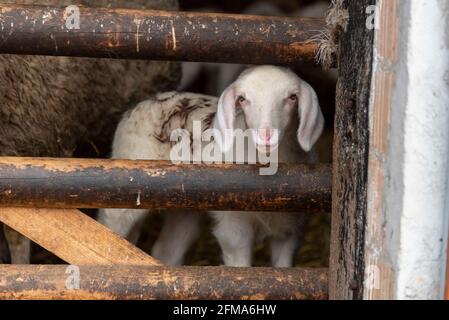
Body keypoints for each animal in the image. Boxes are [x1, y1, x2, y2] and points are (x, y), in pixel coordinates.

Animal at [97, 66, 322, 268]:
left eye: (292, 97)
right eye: (242, 99)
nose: (266, 136)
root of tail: (145, 102)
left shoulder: (290, 231)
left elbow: (283, 270)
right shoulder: (233, 229)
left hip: (185, 207)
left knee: (166, 250)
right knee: (110, 223)